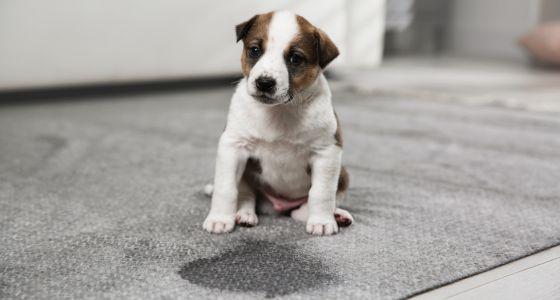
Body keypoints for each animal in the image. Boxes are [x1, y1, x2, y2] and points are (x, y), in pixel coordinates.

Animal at [201, 10, 352, 236]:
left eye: (295, 58)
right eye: (254, 50)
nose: (264, 83)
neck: (279, 111)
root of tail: (278, 206)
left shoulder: (327, 152)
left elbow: (321, 193)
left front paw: (323, 222)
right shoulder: (233, 146)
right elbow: (226, 188)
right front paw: (219, 219)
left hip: (343, 174)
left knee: (304, 208)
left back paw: (337, 215)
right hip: (246, 173)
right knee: (246, 195)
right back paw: (244, 214)